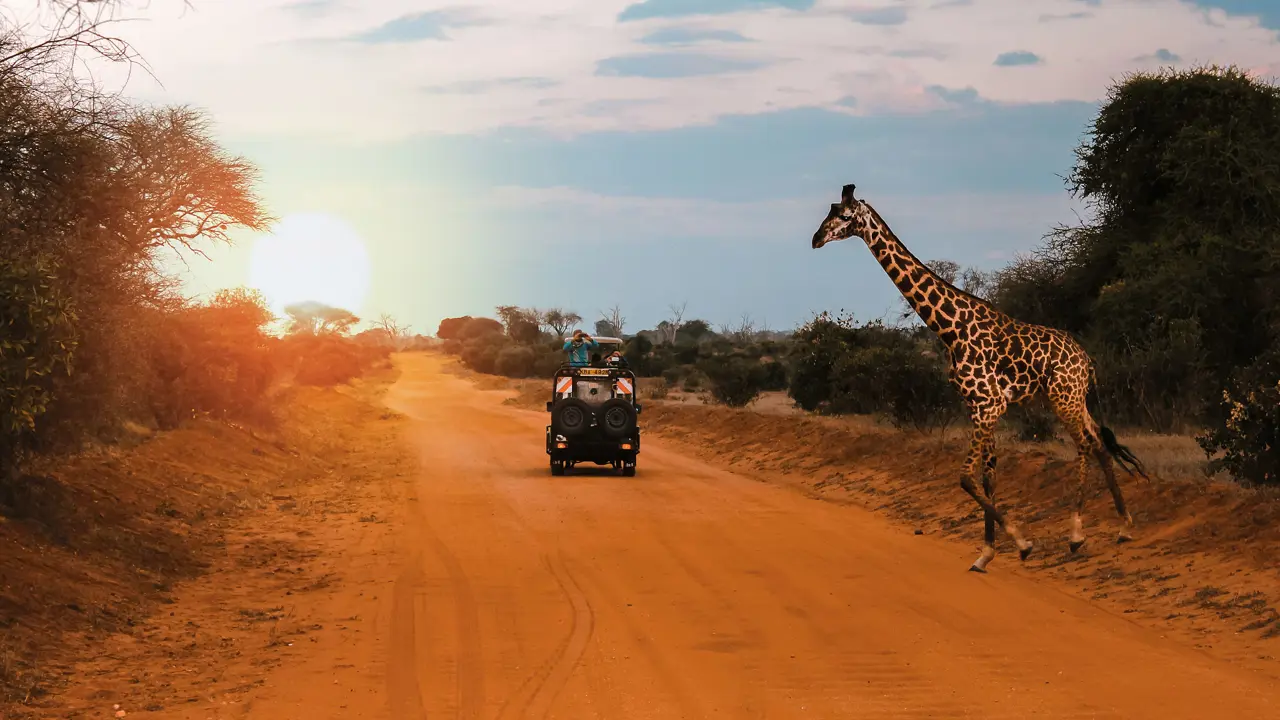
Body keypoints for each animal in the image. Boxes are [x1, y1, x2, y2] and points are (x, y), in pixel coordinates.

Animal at [808, 184, 1152, 571]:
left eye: (844, 215)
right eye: (829, 209)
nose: (816, 239)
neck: (950, 329)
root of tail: (1087, 359)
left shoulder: (990, 404)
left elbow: (966, 478)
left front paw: (1022, 543)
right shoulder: (978, 406)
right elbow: (988, 479)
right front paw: (986, 553)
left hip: (1064, 397)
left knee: (1085, 445)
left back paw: (1078, 535)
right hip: (1070, 398)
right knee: (1098, 442)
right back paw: (1123, 527)